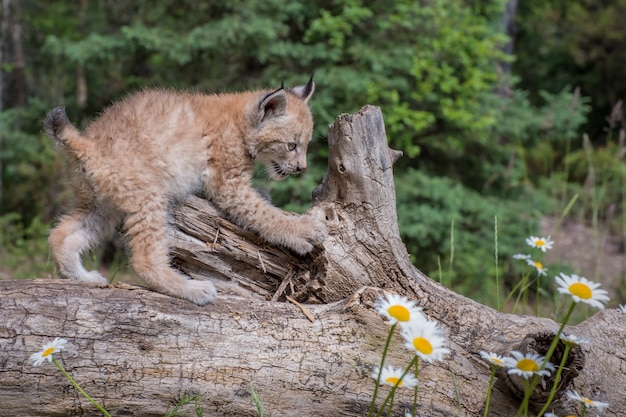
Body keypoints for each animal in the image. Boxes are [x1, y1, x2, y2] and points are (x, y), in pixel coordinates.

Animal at [42, 79, 326, 306]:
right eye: (292, 145)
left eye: (304, 145)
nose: (302, 168)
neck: (241, 123)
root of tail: (86, 142)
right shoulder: (227, 184)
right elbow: (263, 215)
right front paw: (302, 230)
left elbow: (260, 206)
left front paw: (270, 199)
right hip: (149, 195)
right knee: (144, 259)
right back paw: (192, 289)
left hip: (101, 205)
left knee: (59, 235)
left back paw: (83, 277)